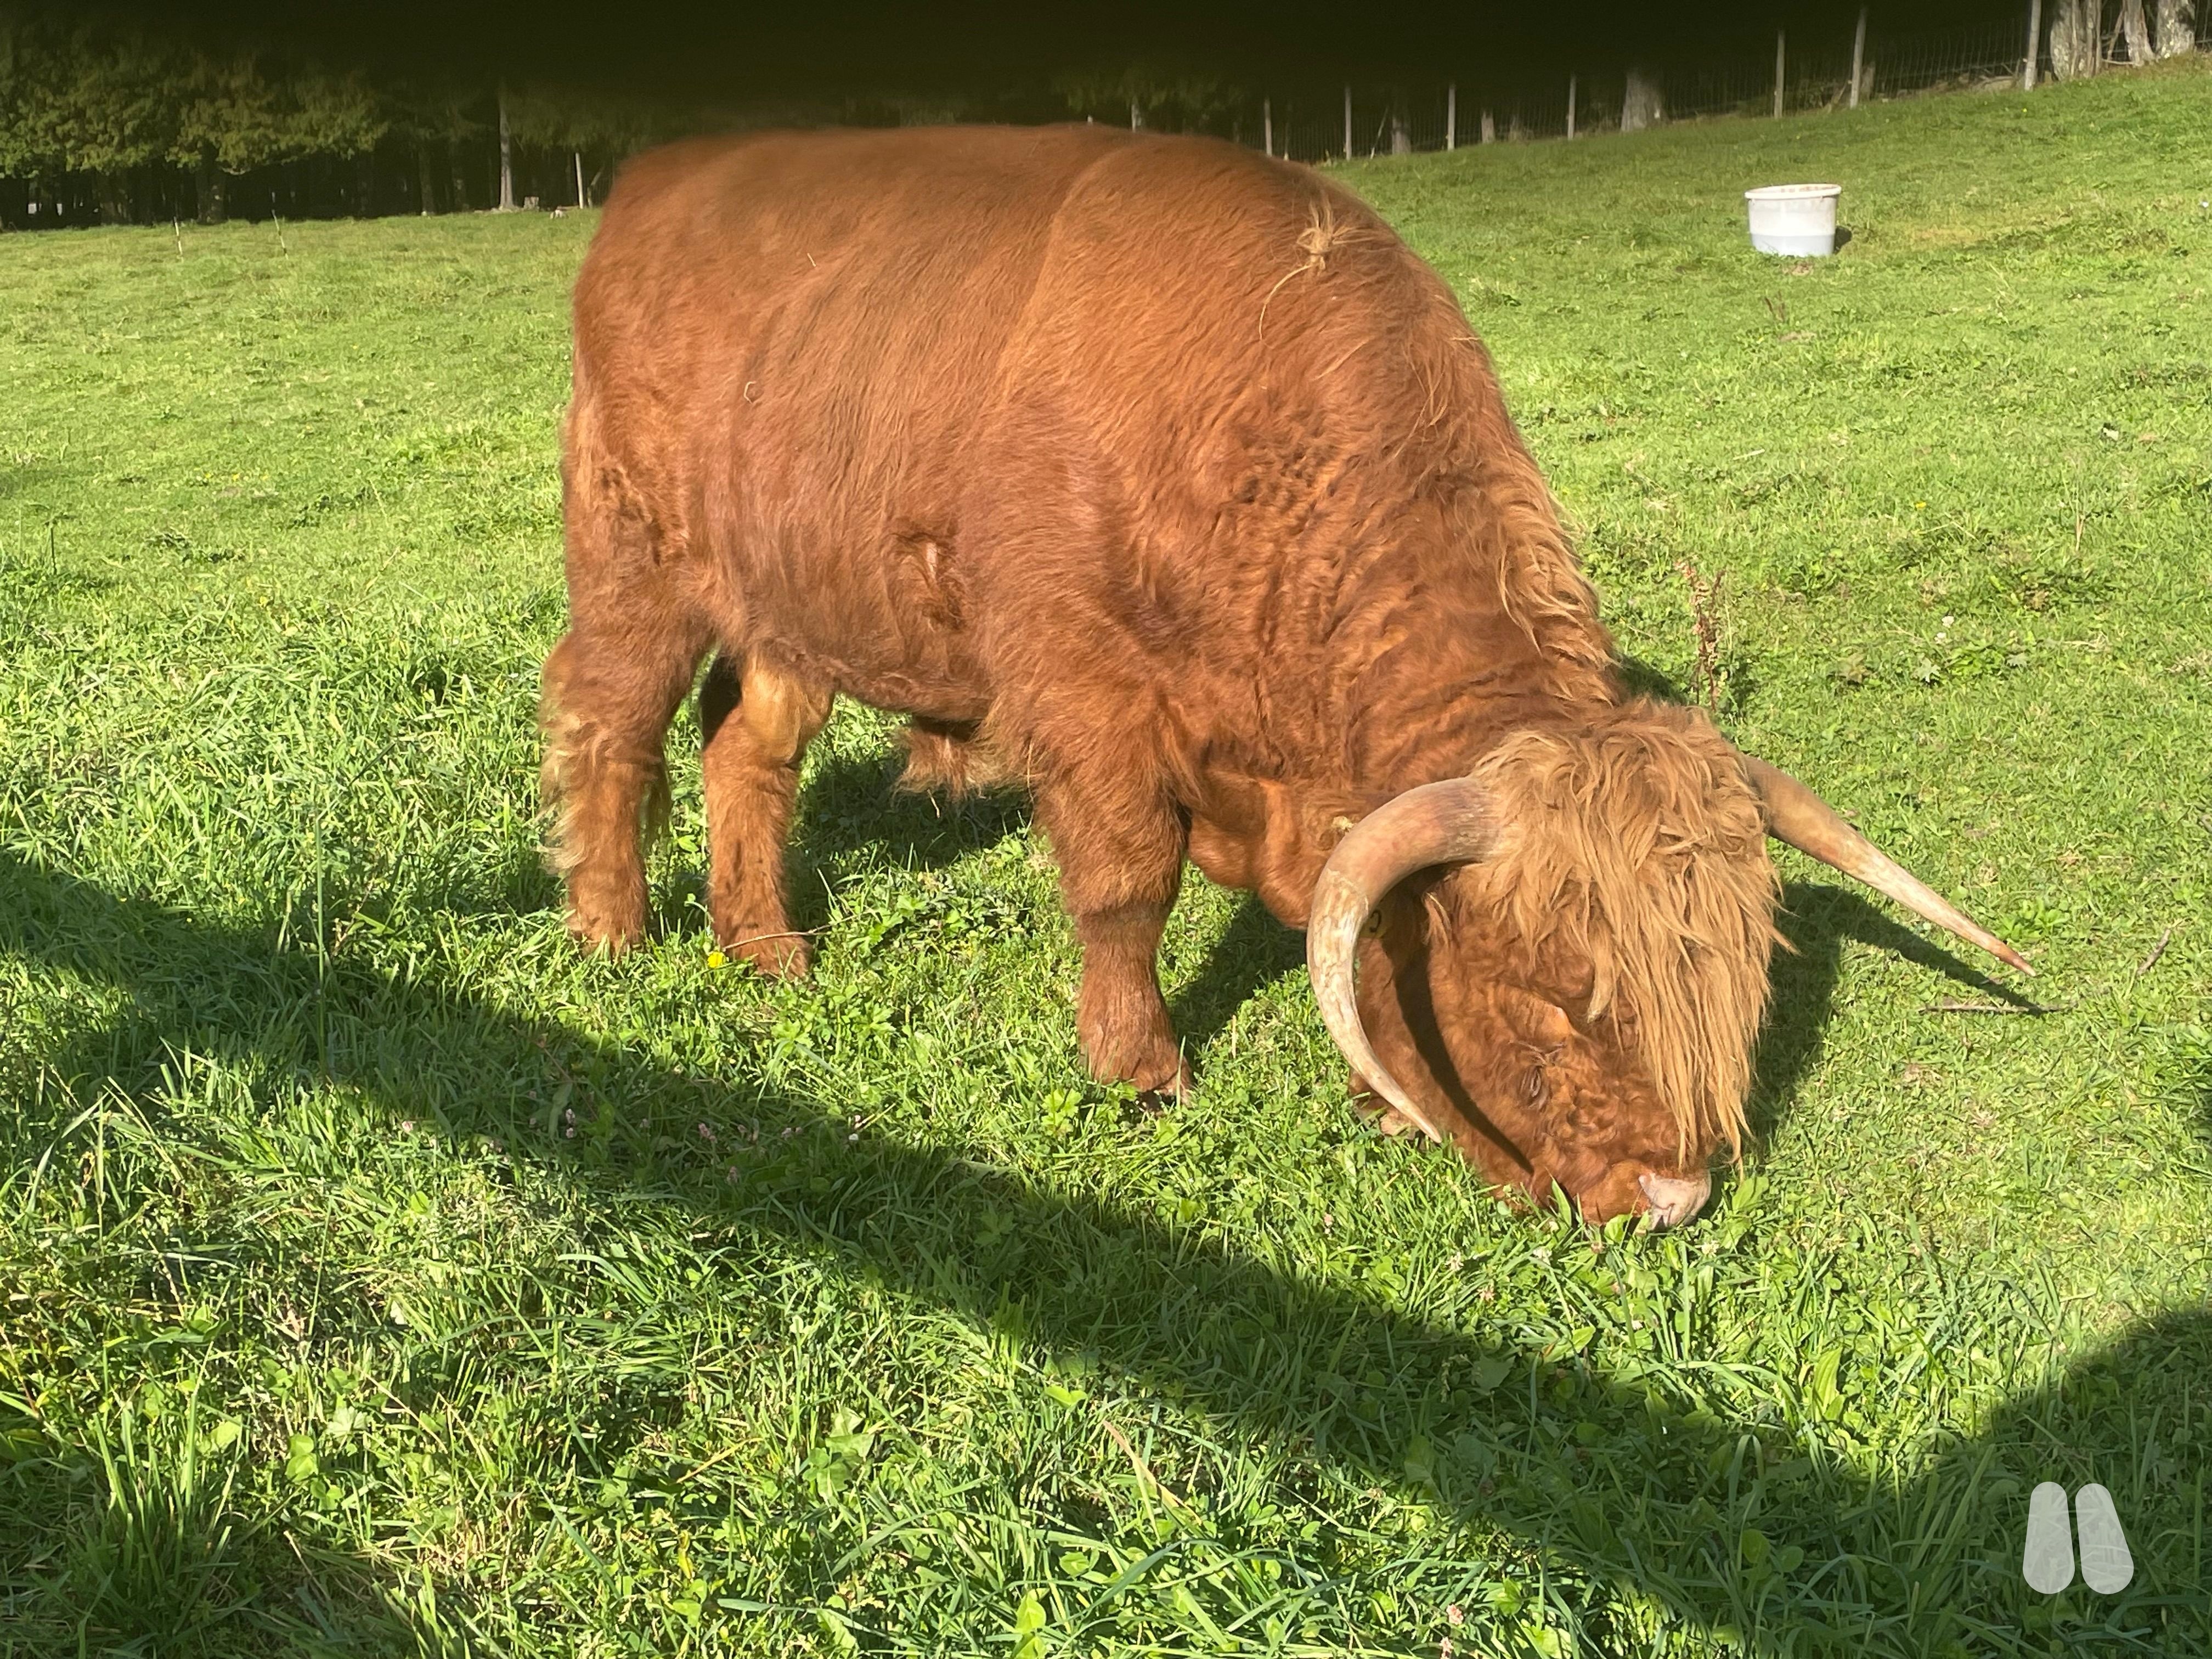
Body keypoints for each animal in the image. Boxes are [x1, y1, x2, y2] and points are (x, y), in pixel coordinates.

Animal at [539, 124, 2025, 1229]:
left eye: (1737, 983)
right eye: (1561, 995)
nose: (1671, 1198)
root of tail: (661, 181)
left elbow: (1347, 929)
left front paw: (1382, 1096)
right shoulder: (1081, 690)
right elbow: (1126, 882)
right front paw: (1140, 1068)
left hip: (794, 605)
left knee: (748, 747)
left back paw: (768, 947)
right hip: (639, 561)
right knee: (610, 720)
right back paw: (612, 933)